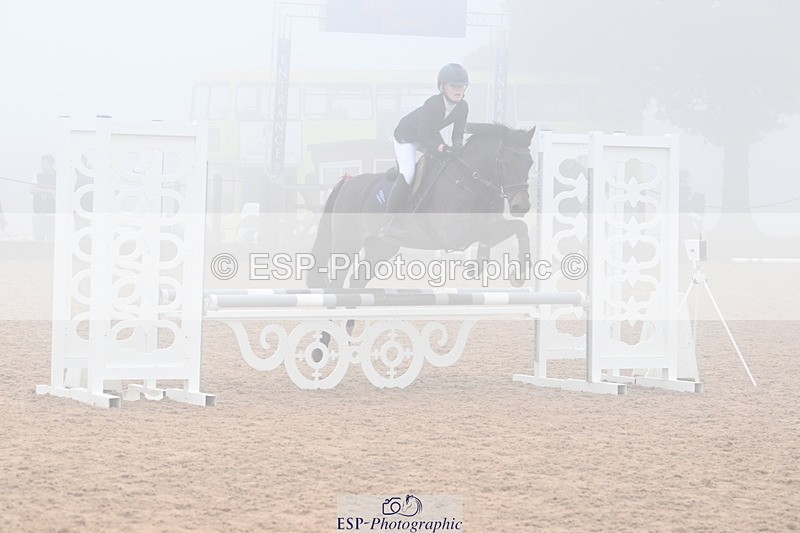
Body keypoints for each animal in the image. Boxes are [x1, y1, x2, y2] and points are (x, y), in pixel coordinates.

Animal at [308, 123, 536, 291]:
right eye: (506, 163)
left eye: (530, 163)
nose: (521, 206)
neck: (469, 178)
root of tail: (348, 181)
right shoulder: (454, 234)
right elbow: (485, 233)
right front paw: (477, 266)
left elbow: (520, 228)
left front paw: (519, 274)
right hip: (347, 243)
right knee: (337, 282)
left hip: (382, 247)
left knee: (357, 280)